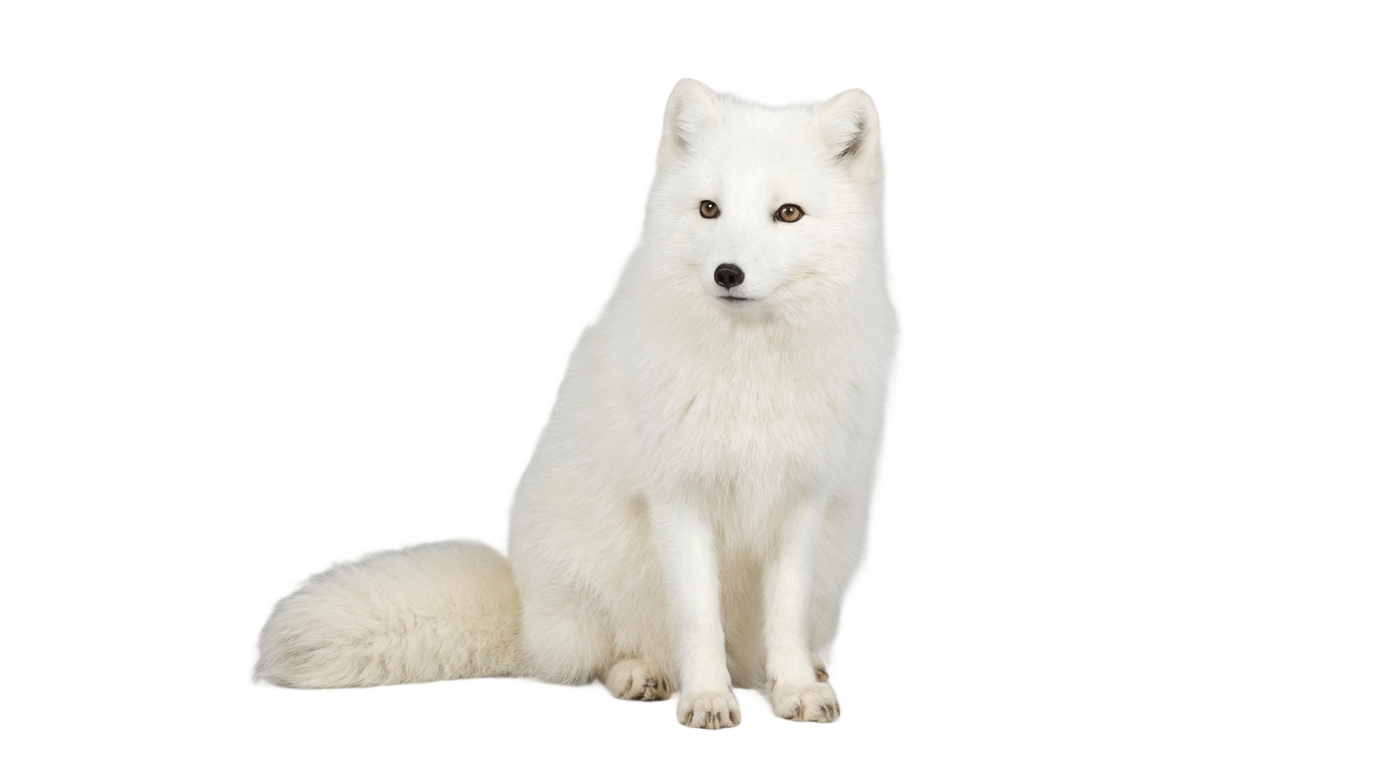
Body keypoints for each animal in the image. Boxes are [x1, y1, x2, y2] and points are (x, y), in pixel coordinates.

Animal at [258, 79, 889, 729]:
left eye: (788, 213)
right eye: (709, 209)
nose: (727, 273)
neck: (749, 373)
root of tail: (521, 603)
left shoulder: (803, 500)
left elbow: (785, 617)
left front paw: (796, 690)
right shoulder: (678, 499)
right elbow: (698, 619)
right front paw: (708, 698)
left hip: (831, 564)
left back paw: (804, 668)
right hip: (596, 586)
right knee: (588, 661)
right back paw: (642, 675)